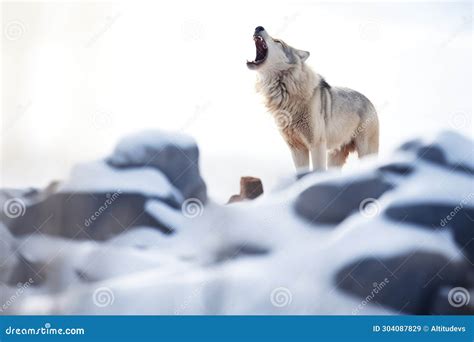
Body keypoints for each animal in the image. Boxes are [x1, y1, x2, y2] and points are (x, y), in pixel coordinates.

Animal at [246, 26, 380, 174]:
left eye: (278, 41)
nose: (258, 27)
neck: (286, 93)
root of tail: (370, 101)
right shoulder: (297, 149)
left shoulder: (317, 145)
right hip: (333, 157)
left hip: (365, 153)